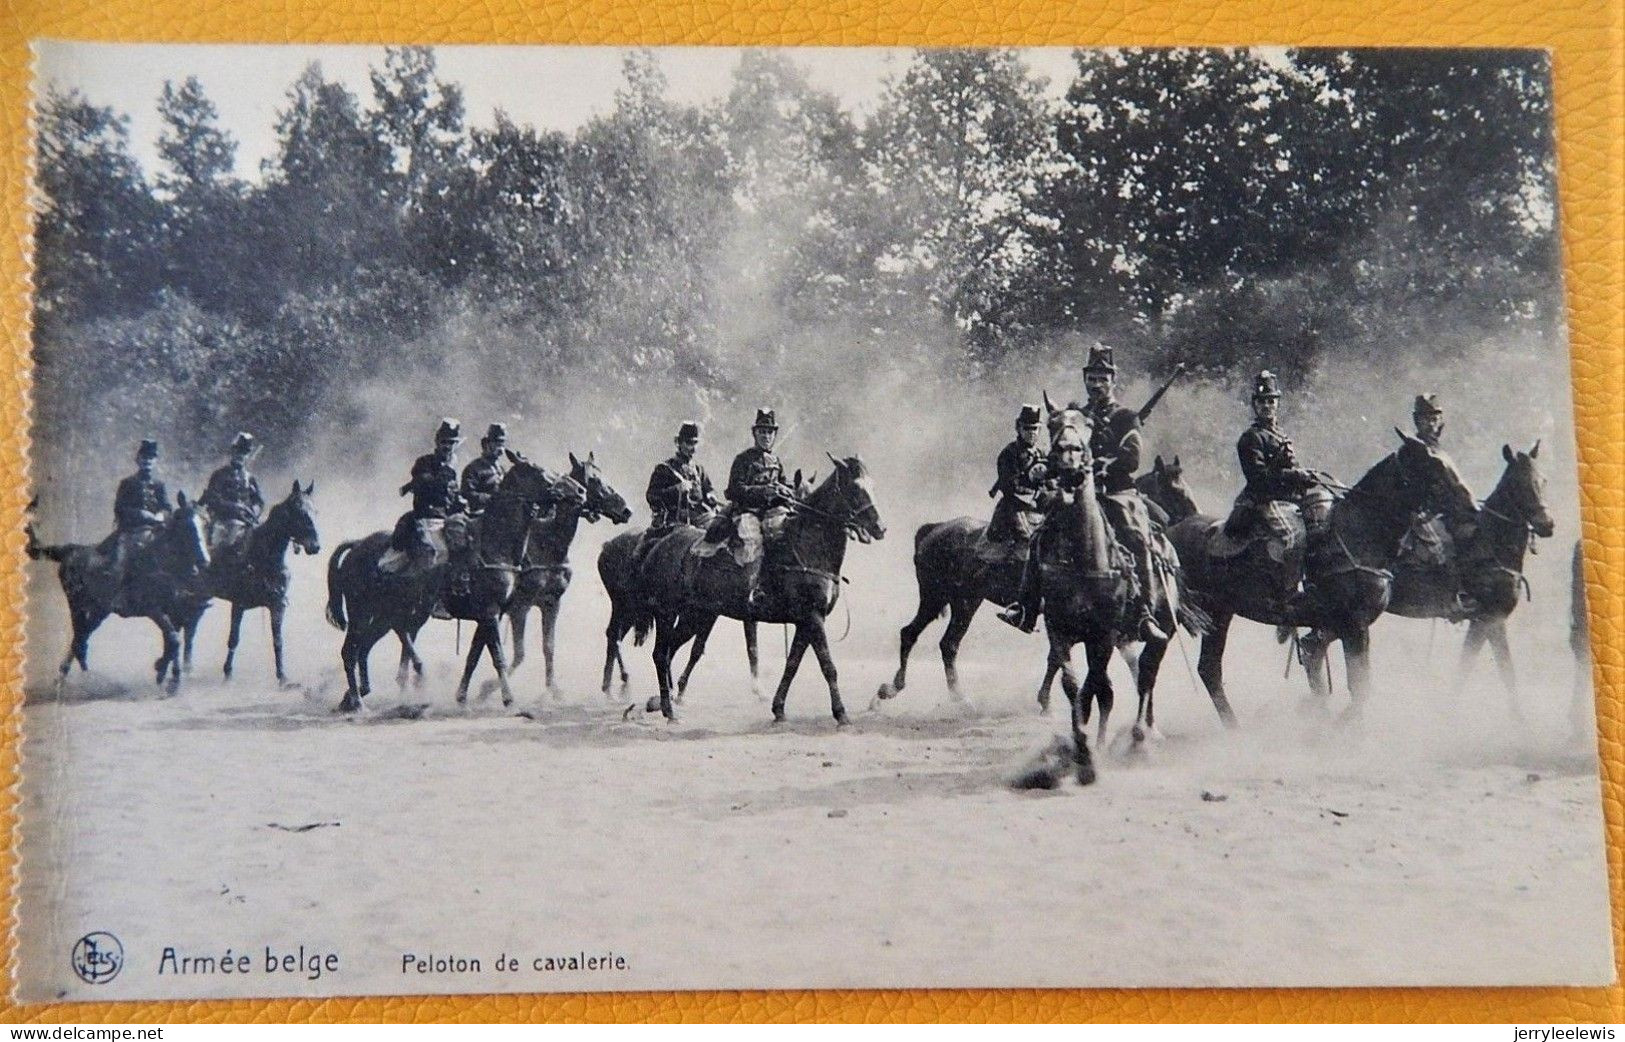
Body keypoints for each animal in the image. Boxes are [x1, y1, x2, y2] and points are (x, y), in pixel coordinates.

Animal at [25, 494, 211, 695]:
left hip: (100, 610)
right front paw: (168, 677)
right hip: (77, 604)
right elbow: (174, 639)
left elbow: (173, 640)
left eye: (206, 522)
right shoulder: (153, 609)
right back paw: (74, 677)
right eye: (186, 525)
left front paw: (168, 676)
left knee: (83, 635)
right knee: (79, 636)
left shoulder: (175, 610)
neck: (161, 561)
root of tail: (70, 550)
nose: (204, 561)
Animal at [320, 458, 581, 712]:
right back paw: (359, 700)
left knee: (367, 646)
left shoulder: (489, 616)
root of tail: (357, 546)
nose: (579, 491)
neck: (493, 543)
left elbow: (474, 656)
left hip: (383, 616)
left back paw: (357, 695)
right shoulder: (492, 613)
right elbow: (498, 656)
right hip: (361, 614)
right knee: (352, 650)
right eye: (539, 472)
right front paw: (508, 699)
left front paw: (463, 696)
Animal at [624, 455, 884, 721]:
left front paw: (778, 708)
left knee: (671, 649)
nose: (880, 528)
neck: (807, 546)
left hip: (695, 615)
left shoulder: (805, 622)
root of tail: (660, 543)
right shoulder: (813, 617)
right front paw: (841, 713)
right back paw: (668, 709)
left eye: (872, 486)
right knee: (660, 654)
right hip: (667, 612)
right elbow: (828, 666)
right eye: (854, 489)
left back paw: (663, 700)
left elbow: (792, 664)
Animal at [1163, 425, 1482, 718]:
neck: (1359, 534)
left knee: (1209, 669)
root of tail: (1167, 534)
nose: (1471, 508)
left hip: (1220, 614)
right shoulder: (1354, 626)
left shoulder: (1346, 625)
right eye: (1433, 466)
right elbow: (1359, 687)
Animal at [1384, 438, 1547, 715]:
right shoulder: (1487, 620)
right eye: (1519, 482)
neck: (1490, 545)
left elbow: (1497, 672)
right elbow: (1478, 672)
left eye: (1543, 480)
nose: (1547, 524)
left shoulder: (1490, 622)